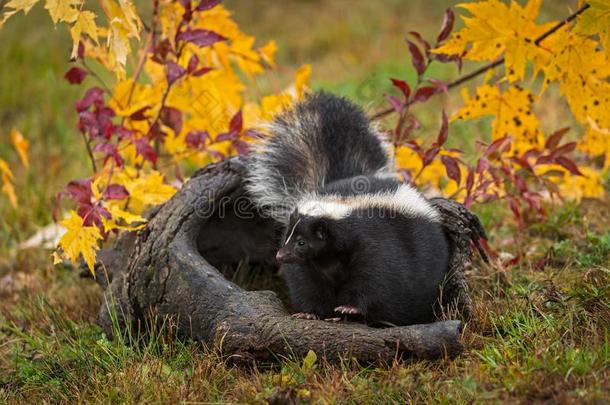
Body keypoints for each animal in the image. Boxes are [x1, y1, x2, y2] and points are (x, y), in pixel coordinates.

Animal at [245, 92, 448, 326]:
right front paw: (312, 312)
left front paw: (349, 308)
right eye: (288, 237)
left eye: (302, 242)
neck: (330, 259)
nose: (281, 255)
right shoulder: (309, 265)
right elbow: (308, 285)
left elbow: (377, 279)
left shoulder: (374, 245)